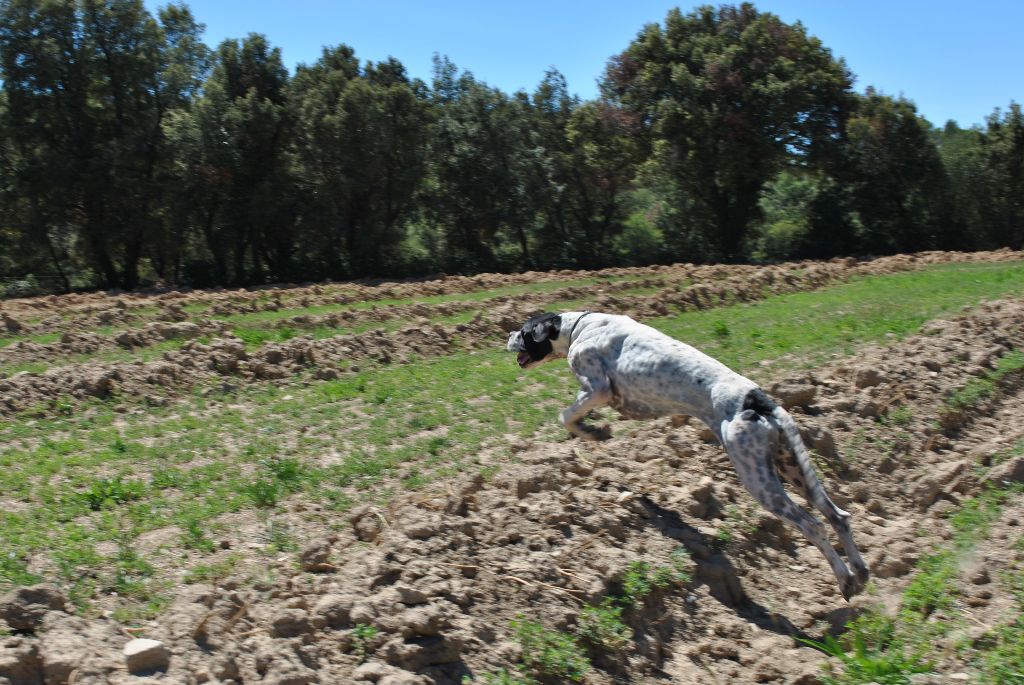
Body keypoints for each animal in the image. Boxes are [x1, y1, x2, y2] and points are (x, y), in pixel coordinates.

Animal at [507, 309, 868, 597]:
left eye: (523, 332)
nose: (506, 336)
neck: (578, 326)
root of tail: (758, 400)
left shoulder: (597, 387)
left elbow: (567, 415)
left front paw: (593, 432)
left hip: (758, 478)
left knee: (813, 524)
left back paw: (845, 580)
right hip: (793, 466)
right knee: (838, 516)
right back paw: (861, 572)